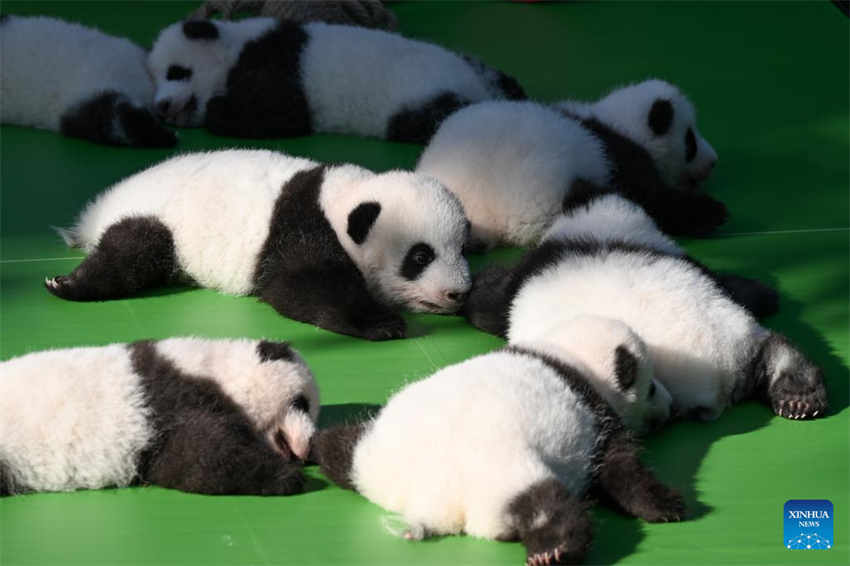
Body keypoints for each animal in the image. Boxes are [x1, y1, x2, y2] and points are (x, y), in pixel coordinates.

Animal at [45, 149, 471, 341]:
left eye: (462, 248)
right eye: (420, 256)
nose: (458, 293)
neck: (342, 198)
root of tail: (98, 210)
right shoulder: (300, 227)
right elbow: (301, 286)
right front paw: (381, 322)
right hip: (157, 216)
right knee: (134, 251)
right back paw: (68, 285)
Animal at [146, 17, 525, 142]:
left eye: (176, 71)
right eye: (155, 81)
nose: (161, 106)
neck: (235, 47)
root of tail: (475, 83)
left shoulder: (277, 64)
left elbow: (283, 114)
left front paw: (218, 108)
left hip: (421, 94)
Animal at [313, 316, 685, 566]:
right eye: (651, 387)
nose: (670, 406)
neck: (567, 354)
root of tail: (427, 505)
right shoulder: (596, 414)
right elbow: (621, 467)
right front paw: (665, 505)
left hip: (375, 456)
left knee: (343, 450)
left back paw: (319, 446)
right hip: (501, 471)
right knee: (542, 502)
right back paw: (554, 549)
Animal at [416, 79, 723, 250]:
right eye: (690, 140)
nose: (713, 162)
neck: (620, 124)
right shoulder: (620, 159)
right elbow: (654, 200)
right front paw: (708, 212)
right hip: (541, 194)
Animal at [463, 194, 828, 421]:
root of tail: (721, 377)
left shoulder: (537, 266)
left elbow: (492, 302)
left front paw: (474, 288)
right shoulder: (687, 260)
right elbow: (733, 283)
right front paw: (765, 293)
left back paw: (799, 397)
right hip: (738, 333)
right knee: (773, 350)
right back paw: (799, 394)